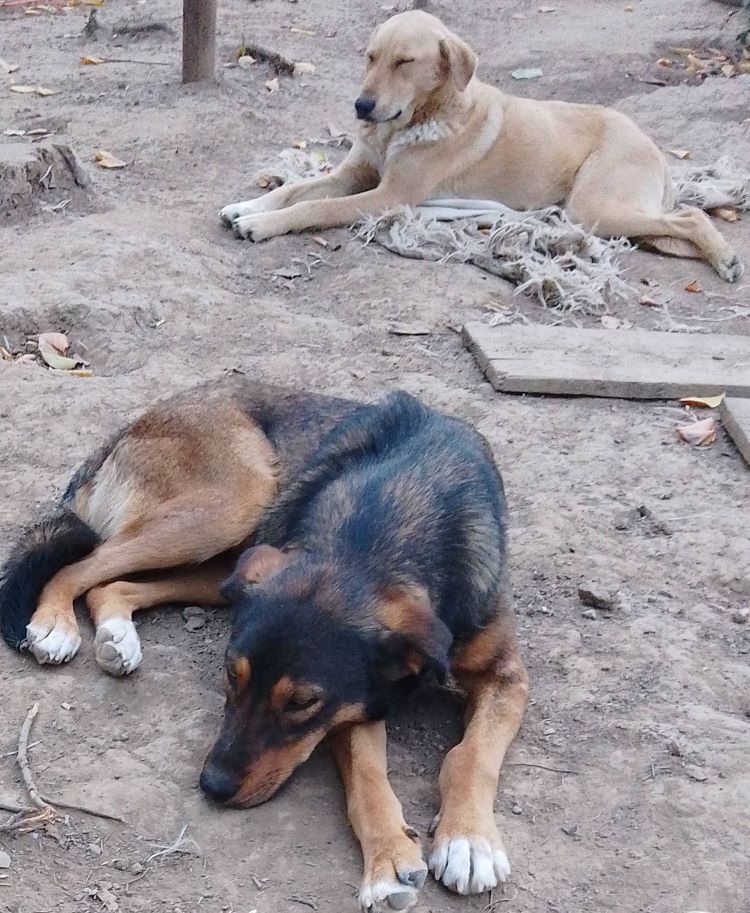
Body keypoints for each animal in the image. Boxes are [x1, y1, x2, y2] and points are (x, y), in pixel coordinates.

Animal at [1, 378, 528, 904]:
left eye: (302, 702)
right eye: (229, 674)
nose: (212, 786)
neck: (389, 521)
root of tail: (138, 421)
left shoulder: (502, 678)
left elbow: (471, 756)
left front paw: (469, 841)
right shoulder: (358, 702)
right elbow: (367, 779)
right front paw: (389, 861)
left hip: (229, 560)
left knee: (111, 585)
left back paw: (117, 636)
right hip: (232, 507)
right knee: (81, 565)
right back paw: (55, 624)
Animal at [220, 10, 744, 282]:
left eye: (404, 62)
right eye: (370, 57)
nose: (361, 107)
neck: (412, 120)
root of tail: (650, 143)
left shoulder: (388, 198)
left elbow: (312, 209)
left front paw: (261, 225)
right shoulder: (353, 175)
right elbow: (293, 190)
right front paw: (247, 206)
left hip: (593, 206)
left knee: (691, 216)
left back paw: (725, 259)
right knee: (678, 224)